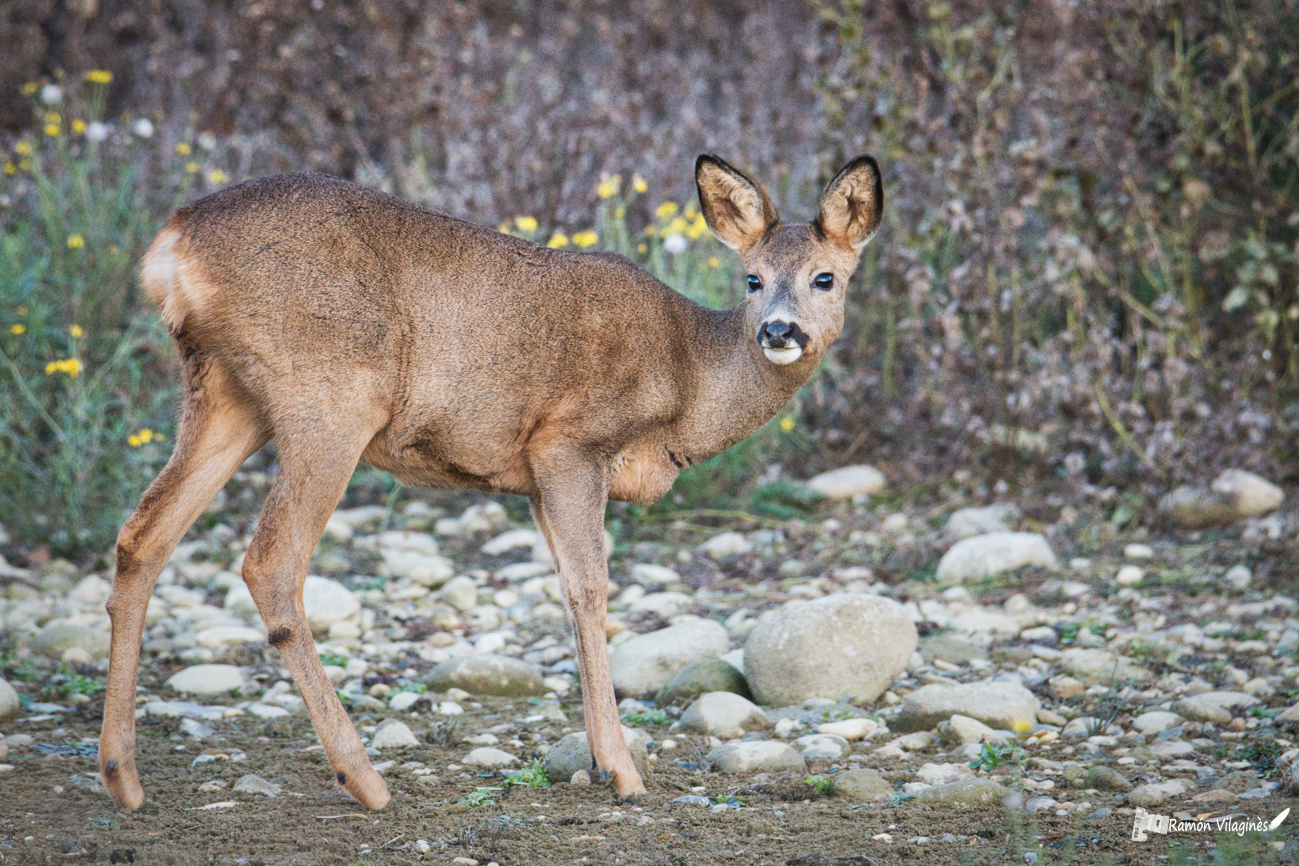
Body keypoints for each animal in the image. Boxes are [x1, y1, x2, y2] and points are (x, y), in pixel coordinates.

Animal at [98, 152, 883, 810]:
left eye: (826, 277)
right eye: (752, 279)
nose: (778, 330)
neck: (687, 379)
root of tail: (173, 244)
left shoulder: (532, 479)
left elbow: (567, 593)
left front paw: (599, 758)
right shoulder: (567, 441)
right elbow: (591, 588)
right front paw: (622, 770)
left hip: (226, 394)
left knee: (142, 535)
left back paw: (123, 778)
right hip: (330, 394)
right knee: (269, 560)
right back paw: (365, 780)